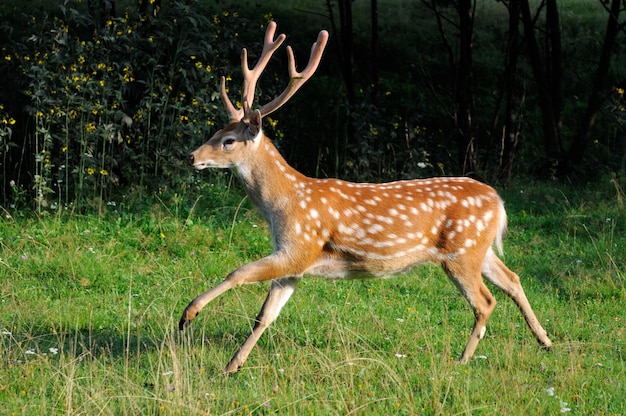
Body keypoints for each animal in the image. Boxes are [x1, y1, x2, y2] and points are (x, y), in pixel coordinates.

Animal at [178, 22, 548, 374]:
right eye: (215, 131)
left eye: (228, 141)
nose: (191, 156)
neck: (283, 203)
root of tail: (498, 201)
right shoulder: (295, 262)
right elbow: (265, 315)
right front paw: (232, 365)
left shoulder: (299, 245)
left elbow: (238, 272)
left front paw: (188, 314)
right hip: (478, 249)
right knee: (512, 279)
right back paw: (544, 340)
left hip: (462, 252)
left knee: (485, 301)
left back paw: (463, 359)